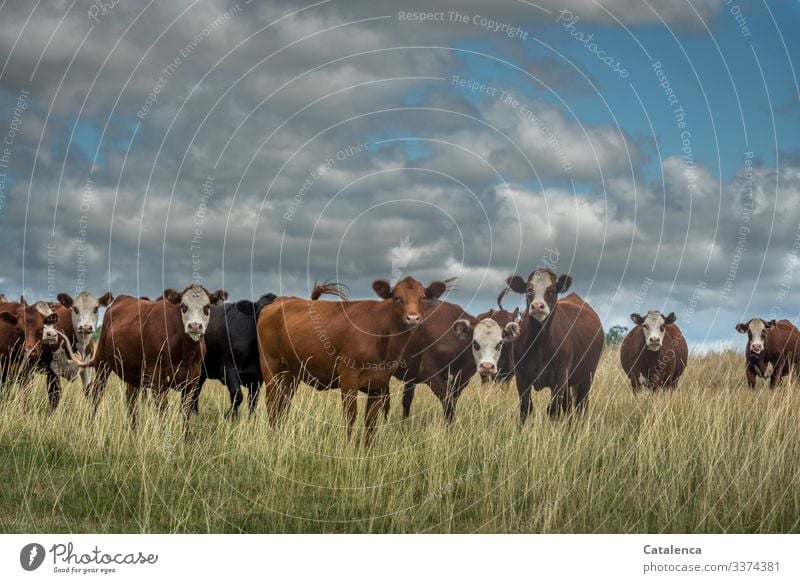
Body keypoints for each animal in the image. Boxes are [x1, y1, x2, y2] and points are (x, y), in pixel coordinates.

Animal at [67, 284, 227, 428]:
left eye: (207, 307)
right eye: (183, 306)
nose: (194, 326)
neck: (185, 351)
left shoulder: (193, 380)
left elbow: (186, 412)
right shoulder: (157, 377)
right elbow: (162, 409)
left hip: (132, 374)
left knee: (131, 401)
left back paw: (133, 430)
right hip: (102, 362)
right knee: (96, 393)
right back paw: (91, 425)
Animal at [260, 276, 450, 444]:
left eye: (423, 297)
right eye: (397, 297)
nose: (412, 318)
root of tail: (280, 301)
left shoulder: (379, 383)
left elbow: (371, 421)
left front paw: (368, 450)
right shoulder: (348, 376)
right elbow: (351, 416)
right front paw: (349, 447)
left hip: (291, 373)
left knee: (282, 406)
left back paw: (279, 436)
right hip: (271, 366)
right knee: (272, 404)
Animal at [510, 270, 604, 424]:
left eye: (552, 290)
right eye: (529, 290)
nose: (537, 306)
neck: (540, 343)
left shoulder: (560, 377)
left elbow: (552, 409)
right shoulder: (521, 375)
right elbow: (525, 407)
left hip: (587, 376)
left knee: (581, 405)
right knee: (569, 406)